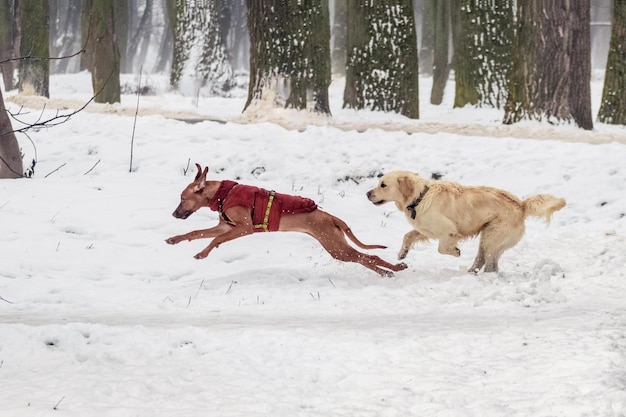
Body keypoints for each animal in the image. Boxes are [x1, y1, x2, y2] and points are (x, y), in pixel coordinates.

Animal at [165, 163, 404, 276]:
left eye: (182, 199)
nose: (174, 214)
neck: (223, 194)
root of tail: (331, 216)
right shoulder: (225, 227)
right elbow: (196, 233)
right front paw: (175, 239)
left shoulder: (244, 228)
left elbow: (215, 240)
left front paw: (202, 253)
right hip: (337, 246)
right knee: (365, 258)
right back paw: (390, 271)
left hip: (336, 247)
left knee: (369, 257)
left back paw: (392, 270)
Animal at [366, 170, 564, 272]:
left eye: (383, 185)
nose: (367, 193)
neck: (420, 197)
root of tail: (521, 205)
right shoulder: (425, 229)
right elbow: (408, 236)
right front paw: (402, 253)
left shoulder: (448, 231)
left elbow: (442, 248)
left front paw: (455, 252)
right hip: (487, 237)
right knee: (482, 260)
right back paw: (471, 273)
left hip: (493, 238)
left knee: (490, 264)